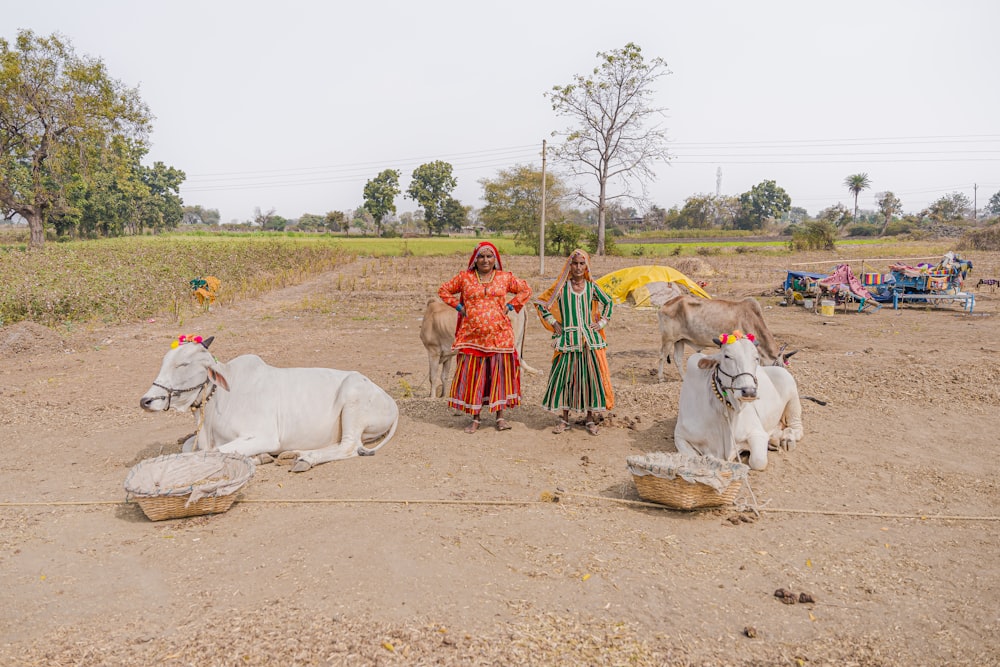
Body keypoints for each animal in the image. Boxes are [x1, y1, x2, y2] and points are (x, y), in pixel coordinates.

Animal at [141, 336, 398, 472]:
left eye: (183, 364)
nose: (146, 401)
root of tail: (390, 401)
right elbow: (189, 448)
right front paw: (261, 457)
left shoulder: (264, 436)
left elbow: (215, 452)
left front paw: (258, 457)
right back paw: (294, 453)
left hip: (352, 397)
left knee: (349, 446)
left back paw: (305, 459)